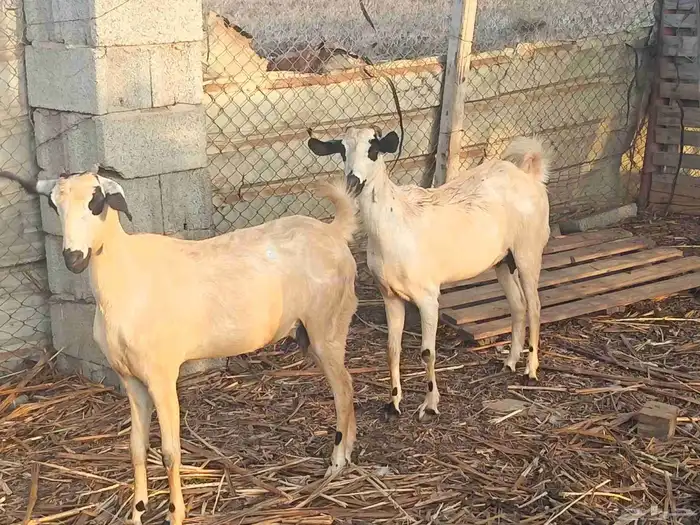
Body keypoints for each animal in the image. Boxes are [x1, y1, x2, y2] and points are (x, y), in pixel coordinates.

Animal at [0, 169, 359, 525]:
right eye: (53, 205)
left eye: (96, 201)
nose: (73, 258)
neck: (125, 278)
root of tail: (333, 231)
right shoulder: (130, 378)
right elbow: (136, 448)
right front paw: (137, 511)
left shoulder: (162, 376)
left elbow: (170, 453)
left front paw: (175, 514)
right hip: (314, 331)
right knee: (346, 385)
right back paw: (347, 452)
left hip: (328, 324)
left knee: (344, 388)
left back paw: (336, 462)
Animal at [307, 128, 550, 421]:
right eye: (342, 151)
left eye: (373, 149)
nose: (353, 180)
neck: (394, 221)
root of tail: (529, 174)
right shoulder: (389, 295)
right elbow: (392, 349)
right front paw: (394, 403)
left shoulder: (428, 297)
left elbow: (427, 352)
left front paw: (431, 404)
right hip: (503, 259)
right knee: (517, 304)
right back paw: (511, 362)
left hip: (528, 250)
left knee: (534, 305)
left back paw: (531, 370)